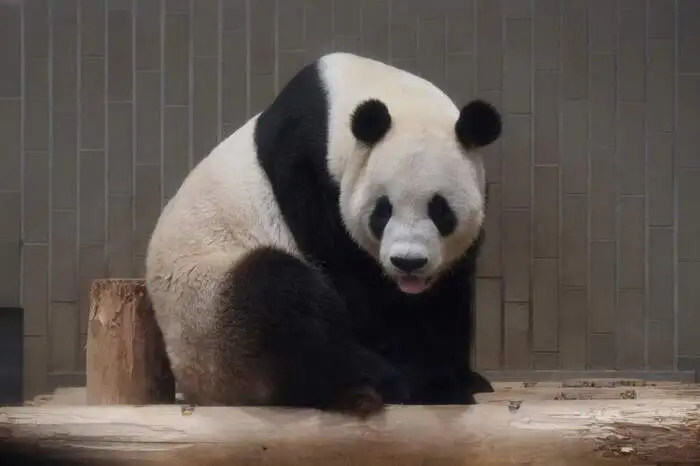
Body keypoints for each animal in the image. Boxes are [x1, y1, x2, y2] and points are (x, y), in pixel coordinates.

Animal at [145, 52, 502, 418]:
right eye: (383, 210)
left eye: (440, 210)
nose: (408, 262)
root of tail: (202, 391)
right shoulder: (307, 172)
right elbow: (356, 286)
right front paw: (433, 375)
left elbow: (447, 295)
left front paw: (462, 372)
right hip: (208, 313)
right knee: (282, 302)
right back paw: (395, 385)